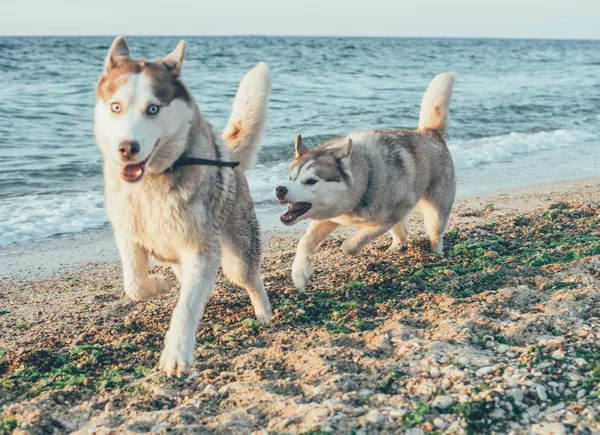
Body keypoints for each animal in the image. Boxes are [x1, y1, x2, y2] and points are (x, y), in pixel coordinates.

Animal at [95, 36, 274, 378]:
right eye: (116, 107)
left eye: (153, 108)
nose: (127, 148)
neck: (153, 182)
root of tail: (226, 152)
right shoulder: (128, 236)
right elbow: (135, 286)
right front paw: (158, 285)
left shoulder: (203, 251)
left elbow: (187, 307)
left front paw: (177, 352)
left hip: (237, 252)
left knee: (250, 277)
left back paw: (264, 313)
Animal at [276, 73, 454, 292]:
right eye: (291, 177)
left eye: (311, 181)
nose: (280, 189)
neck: (365, 182)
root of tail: (430, 134)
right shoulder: (329, 217)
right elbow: (304, 242)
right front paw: (300, 274)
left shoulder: (387, 218)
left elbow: (349, 245)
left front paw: (355, 249)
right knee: (402, 234)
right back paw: (395, 249)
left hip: (434, 213)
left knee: (435, 234)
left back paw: (436, 256)